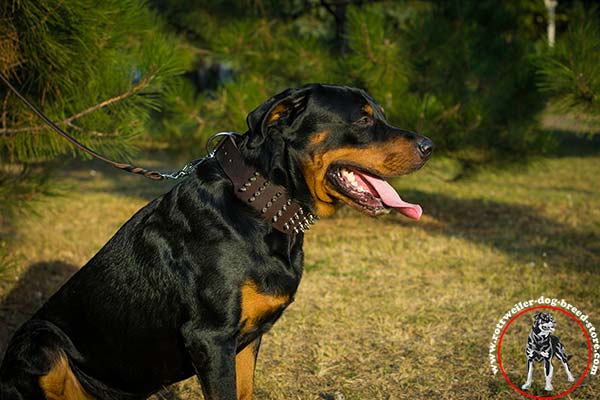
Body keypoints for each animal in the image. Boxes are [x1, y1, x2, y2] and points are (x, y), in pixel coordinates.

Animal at [0, 83, 432, 398]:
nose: (429, 146)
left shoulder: (243, 342)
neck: (260, 205)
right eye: (362, 120)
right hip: (39, 342)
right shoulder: (210, 338)